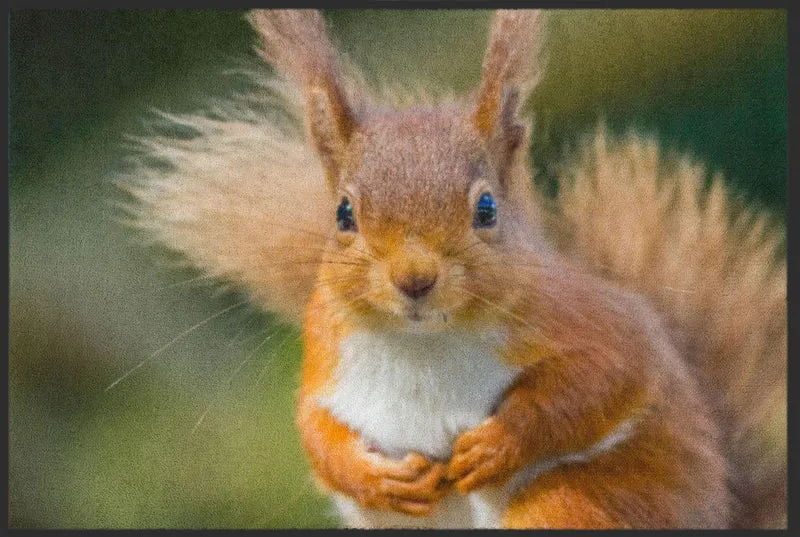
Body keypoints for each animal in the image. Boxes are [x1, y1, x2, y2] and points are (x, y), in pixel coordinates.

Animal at [121, 9, 786, 529]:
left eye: (486, 209)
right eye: (343, 213)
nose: (414, 279)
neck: (425, 345)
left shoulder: (593, 322)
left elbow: (603, 378)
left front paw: (499, 444)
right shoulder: (327, 360)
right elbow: (316, 432)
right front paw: (373, 478)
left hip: (577, 499)